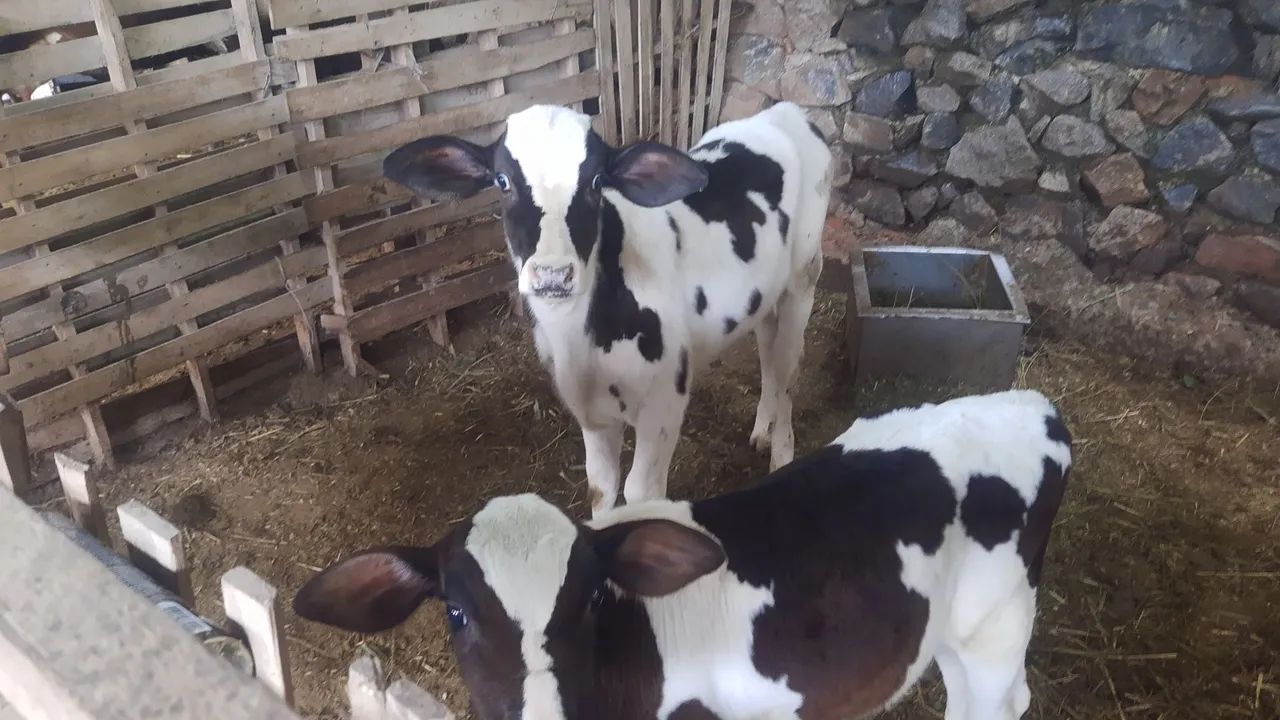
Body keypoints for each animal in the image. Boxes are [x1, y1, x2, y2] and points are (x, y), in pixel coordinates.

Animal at [294, 389, 1074, 720]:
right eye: (455, 612)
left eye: (592, 600)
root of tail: (1033, 405)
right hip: (945, 631)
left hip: (998, 626)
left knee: (1000, 703)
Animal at [381, 102, 832, 515]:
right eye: (502, 180)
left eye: (596, 181)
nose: (552, 274)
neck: (581, 341)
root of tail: (784, 112)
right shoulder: (590, 410)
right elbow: (601, 487)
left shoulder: (665, 403)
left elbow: (640, 493)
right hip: (766, 298)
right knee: (768, 356)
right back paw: (761, 431)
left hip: (803, 282)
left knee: (788, 370)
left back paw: (781, 454)